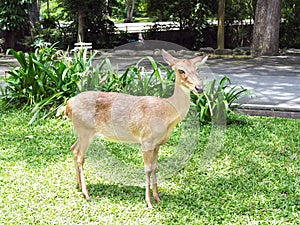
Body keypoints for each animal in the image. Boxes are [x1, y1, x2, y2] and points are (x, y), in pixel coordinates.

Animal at [64, 49, 207, 209]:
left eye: (197, 69)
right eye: (181, 70)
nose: (199, 88)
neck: (166, 112)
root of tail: (68, 105)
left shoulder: (157, 144)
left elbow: (155, 167)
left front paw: (158, 198)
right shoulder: (146, 140)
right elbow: (147, 169)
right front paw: (149, 202)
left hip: (82, 131)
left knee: (73, 149)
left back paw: (78, 185)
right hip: (85, 130)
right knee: (80, 157)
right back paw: (86, 193)